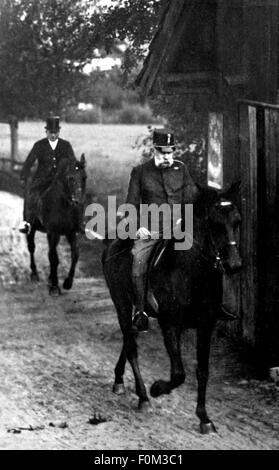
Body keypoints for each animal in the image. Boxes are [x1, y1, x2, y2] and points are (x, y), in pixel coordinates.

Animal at [25, 154, 86, 294]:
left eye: (84, 177)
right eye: (70, 178)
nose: (79, 201)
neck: (64, 206)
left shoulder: (71, 233)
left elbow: (75, 254)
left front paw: (67, 283)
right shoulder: (53, 233)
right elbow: (54, 258)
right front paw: (54, 287)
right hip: (32, 228)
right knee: (32, 247)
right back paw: (35, 275)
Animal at [103, 184, 243, 434]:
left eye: (237, 222)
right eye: (214, 223)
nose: (234, 265)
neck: (193, 273)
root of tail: (113, 243)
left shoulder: (206, 325)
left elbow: (202, 371)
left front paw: (204, 418)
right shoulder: (170, 324)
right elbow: (178, 373)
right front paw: (157, 388)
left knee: (129, 337)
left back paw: (120, 380)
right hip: (121, 302)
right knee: (131, 347)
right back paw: (143, 397)